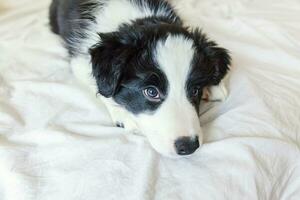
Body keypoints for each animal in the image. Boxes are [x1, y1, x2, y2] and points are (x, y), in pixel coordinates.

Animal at [50, 0, 231, 156]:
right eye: (151, 92)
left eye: (195, 90)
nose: (188, 146)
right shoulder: (79, 60)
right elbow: (99, 87)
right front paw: (123, 114)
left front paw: (213, 85)